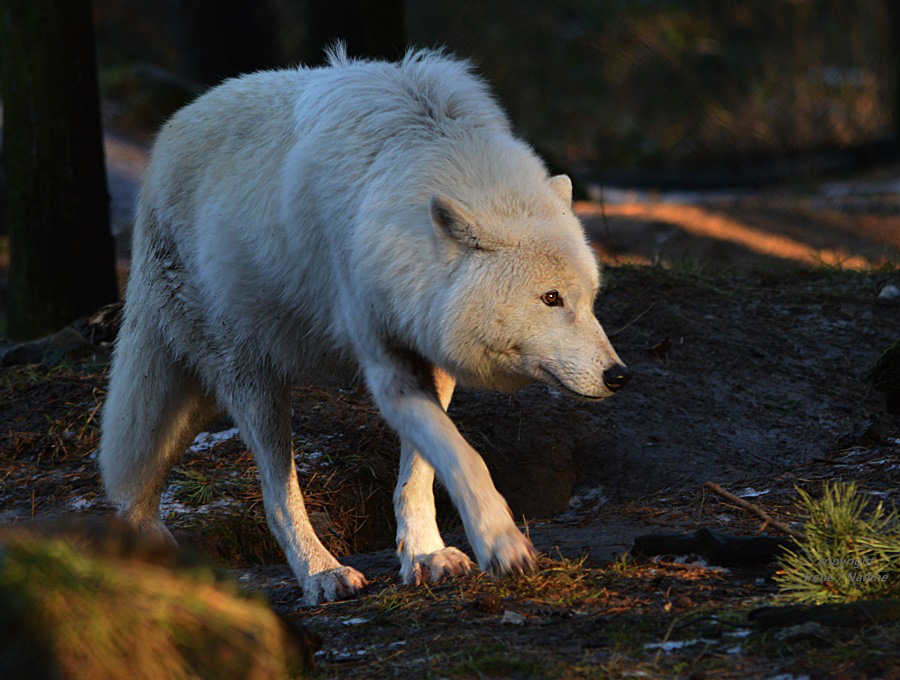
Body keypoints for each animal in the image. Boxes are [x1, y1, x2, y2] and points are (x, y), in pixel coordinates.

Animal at [98, 45, 628, 604]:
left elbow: (420, 472)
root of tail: (164, 142)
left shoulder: (430, 356)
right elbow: (465, 457)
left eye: (590, 300)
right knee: (275, 493)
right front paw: (501, 543)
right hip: (252, 382)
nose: (619, 376)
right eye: (550, 298)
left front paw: (425, 554)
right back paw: (320, 573)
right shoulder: (385, 364)